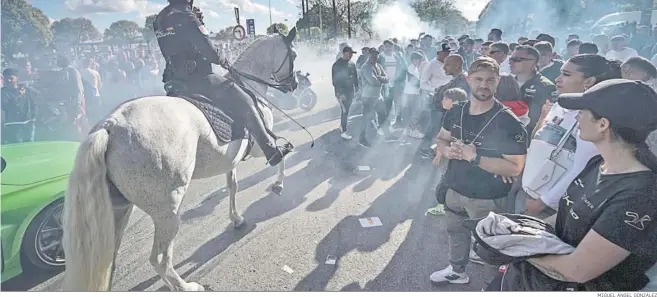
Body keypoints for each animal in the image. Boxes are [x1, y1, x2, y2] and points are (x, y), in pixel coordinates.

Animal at [61, 27, 298, 290]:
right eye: (294, 55)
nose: (295, 84)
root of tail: (110, 125)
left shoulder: (232, 158)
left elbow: (233, 186)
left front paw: (236, 218)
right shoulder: (258, 146)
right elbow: (280, 155)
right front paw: (278, 185)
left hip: (118, 212)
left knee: (109, 262)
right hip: (168, 210)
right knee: (161, 259)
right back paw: (186, 287)